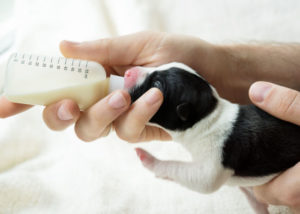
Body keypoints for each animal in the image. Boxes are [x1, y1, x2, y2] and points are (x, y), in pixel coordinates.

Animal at [123, 62, 300, 214]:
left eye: (157, 85)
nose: (127, 72)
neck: (208, 115)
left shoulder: (213, 162)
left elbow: (194, 176)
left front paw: (149, 160)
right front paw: (256, 203)